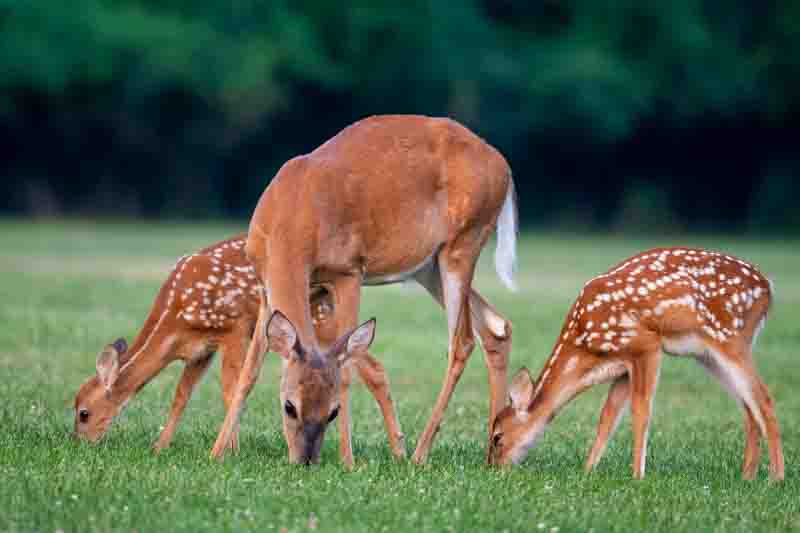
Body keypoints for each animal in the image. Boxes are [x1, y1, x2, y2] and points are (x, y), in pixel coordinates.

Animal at [73, 234, 406, 460]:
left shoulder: (232, 328)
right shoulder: (199, 349)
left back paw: (399, 452)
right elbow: (181, 396)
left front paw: (230, 450)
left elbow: (230, 388)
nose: (78, 442)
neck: (175, 316)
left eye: (83, 413)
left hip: (320, 321)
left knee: (372, 367)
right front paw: (159, 446)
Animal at [210, 115, 517, 467]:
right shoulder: (266, 289)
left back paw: (420, 453)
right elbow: (249, 372)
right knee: (496, 327)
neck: (294, 218)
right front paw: (216, 452)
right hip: (429, 267)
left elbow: (346, 369)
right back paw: (493, 454)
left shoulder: (348, 271)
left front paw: (348, 460)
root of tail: (503, 166)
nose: (305, 460)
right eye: (289, 406)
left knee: (463, 340)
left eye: (332, 412)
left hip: (462, 245)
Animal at [487, 247, 784, 481]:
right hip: (708, 354)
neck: (585, 348)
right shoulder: (622, 367)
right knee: (748, 407)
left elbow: (641, 411)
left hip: (730, 338)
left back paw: (775, 478)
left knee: (764, 398)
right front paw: (587, 470)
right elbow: (607, 416)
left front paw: (637, 476)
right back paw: (747, 476)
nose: (492, 468)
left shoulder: (645, 345)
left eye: (497, 437)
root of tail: (768, 289)